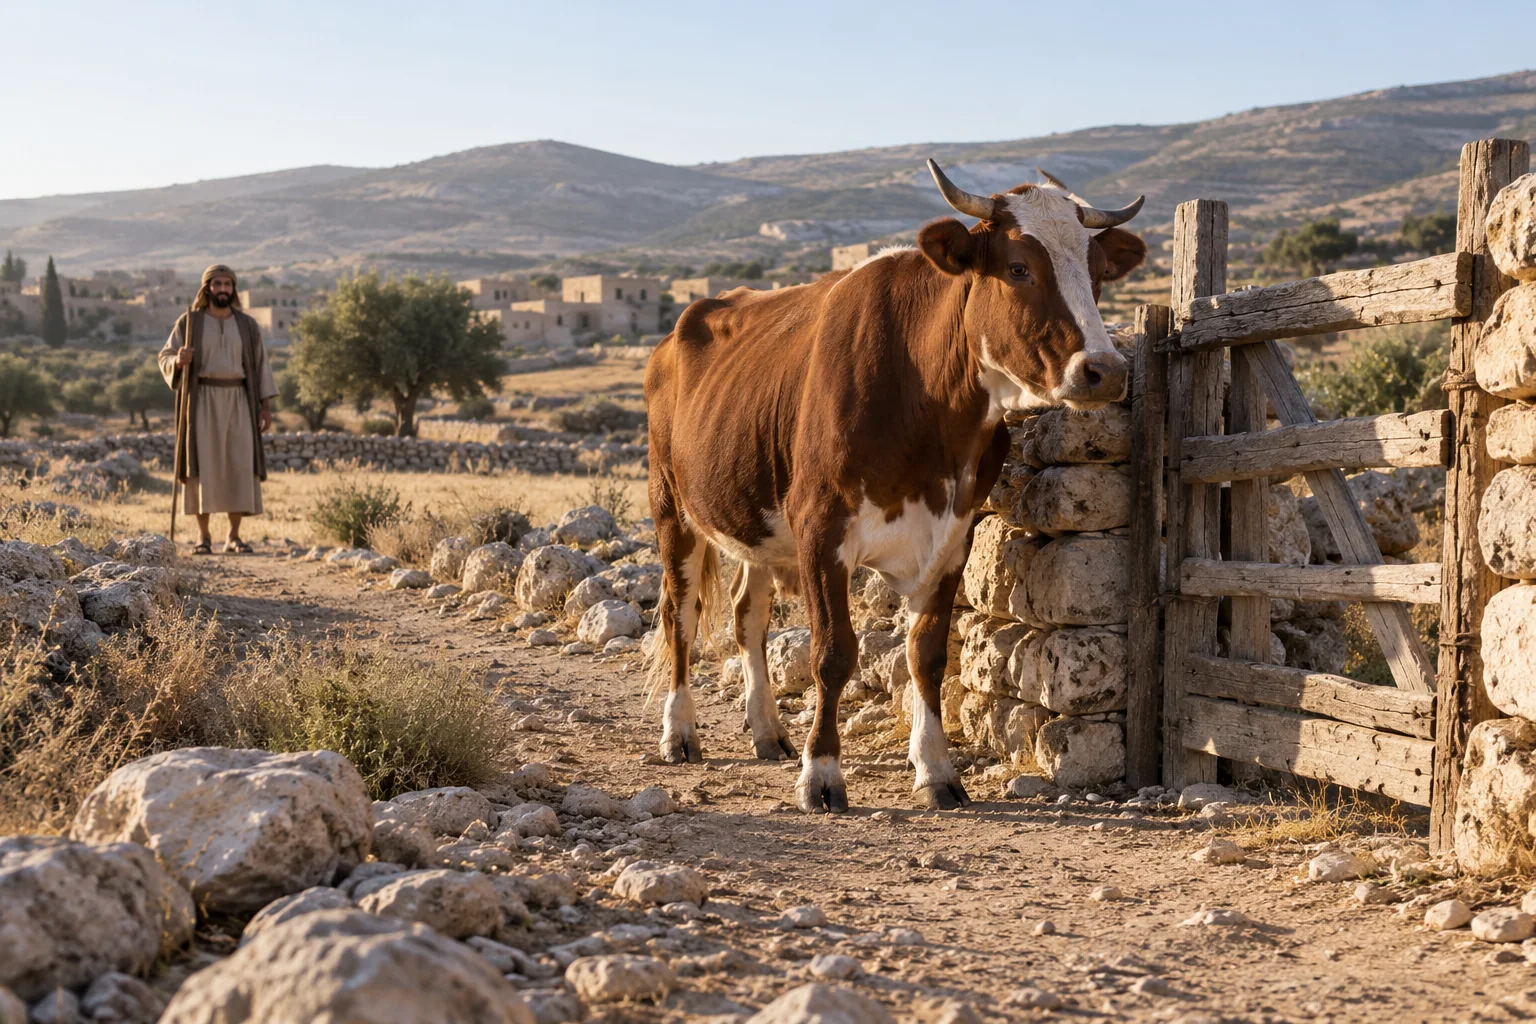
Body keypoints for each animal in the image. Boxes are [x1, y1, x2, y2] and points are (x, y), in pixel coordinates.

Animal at [643, 161, 1147, 812]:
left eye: (1097, 272)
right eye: (1018, 268)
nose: (1105, 371)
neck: (927, 404)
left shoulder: (951, 535)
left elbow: (927, 656)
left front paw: (936, 770)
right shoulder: (820, 530)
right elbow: (832, 654)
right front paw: (822, 774)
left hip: (753, 515)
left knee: (745, 613)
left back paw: (767, 730)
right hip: (671, 506)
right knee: (680, 612)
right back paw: (679, 732)